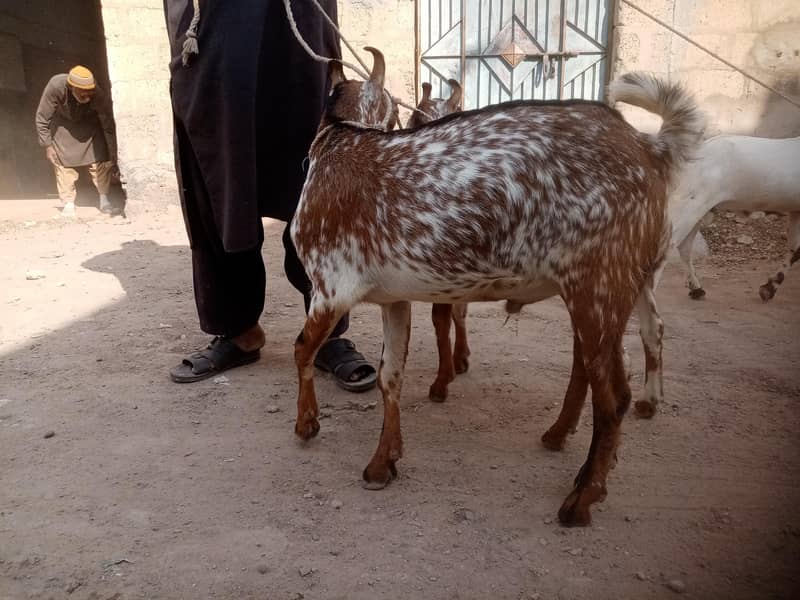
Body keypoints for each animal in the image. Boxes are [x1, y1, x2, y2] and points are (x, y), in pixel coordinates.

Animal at [291, 48, 704, 525]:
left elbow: (303, 349)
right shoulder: (393, 298)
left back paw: (581, 500)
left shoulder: (330, 286)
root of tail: (649, 148)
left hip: (599, 282)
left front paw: (307, 425)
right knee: (590, 364)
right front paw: (382, 463)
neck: (339, 142)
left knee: (614, 395)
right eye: (399, 113)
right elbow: (390, 376)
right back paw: (568, 451)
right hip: (600, 289)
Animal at [668, 135, 800, 301]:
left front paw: (770, 287)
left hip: (696, 212)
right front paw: (769, 288)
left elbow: (794, 248)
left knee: (684, 248)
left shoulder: (796, 211)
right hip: (689, 208)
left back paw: (696, 289)